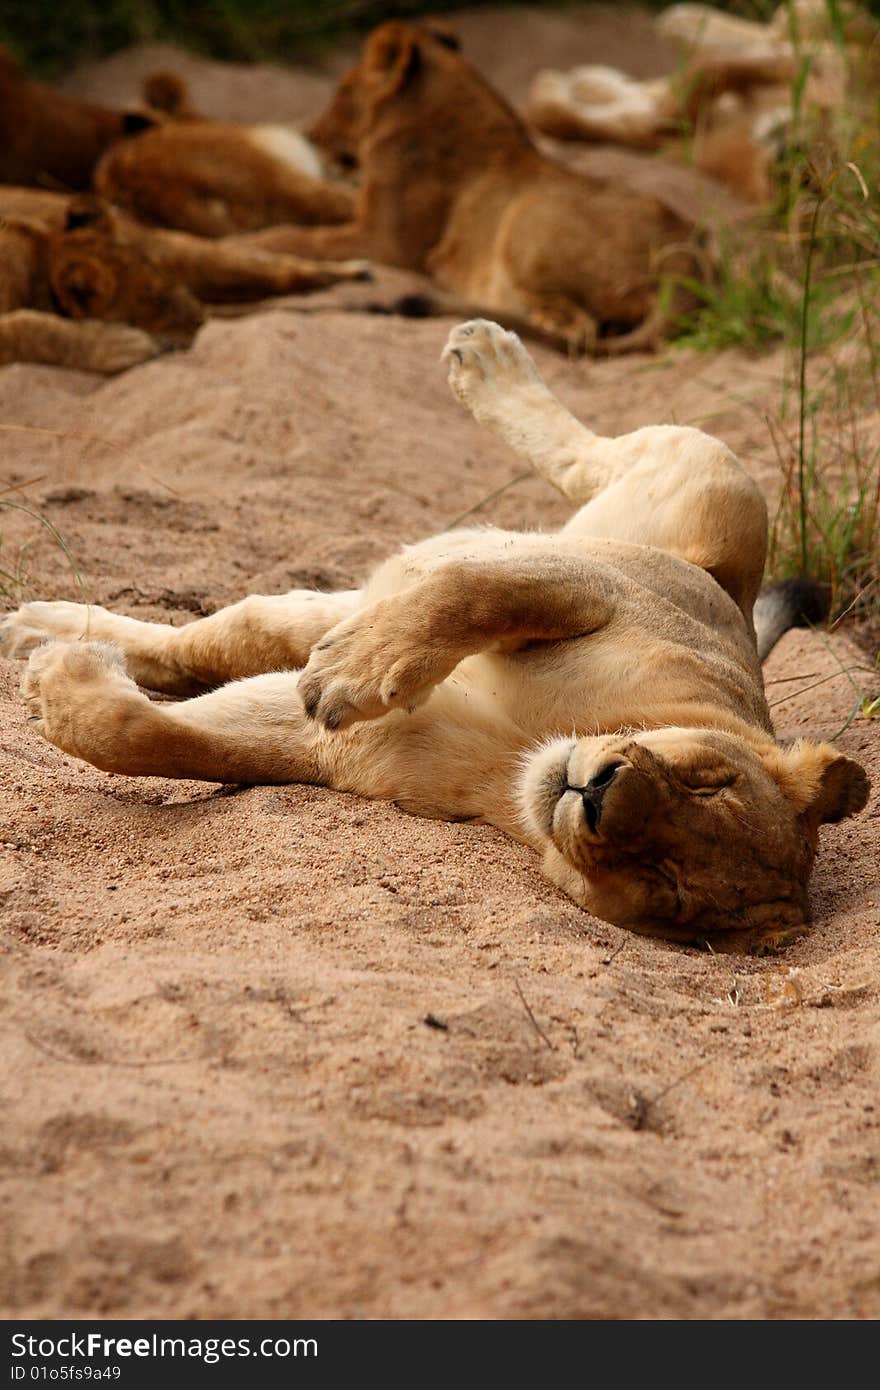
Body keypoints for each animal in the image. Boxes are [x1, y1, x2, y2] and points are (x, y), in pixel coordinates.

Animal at [0, 319, 867, 950]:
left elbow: (155, 738)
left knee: (232, 635)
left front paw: (59, 686)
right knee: (585, 456)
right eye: (707, 783)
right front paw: (361, 670)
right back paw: (484, 358)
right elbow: (468, 591)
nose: (596, 794)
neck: (524, 758)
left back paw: (39, 632)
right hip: (713, 482)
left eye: (669, 884)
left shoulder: (339, 752)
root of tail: (736, 596)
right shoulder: (594, 589)